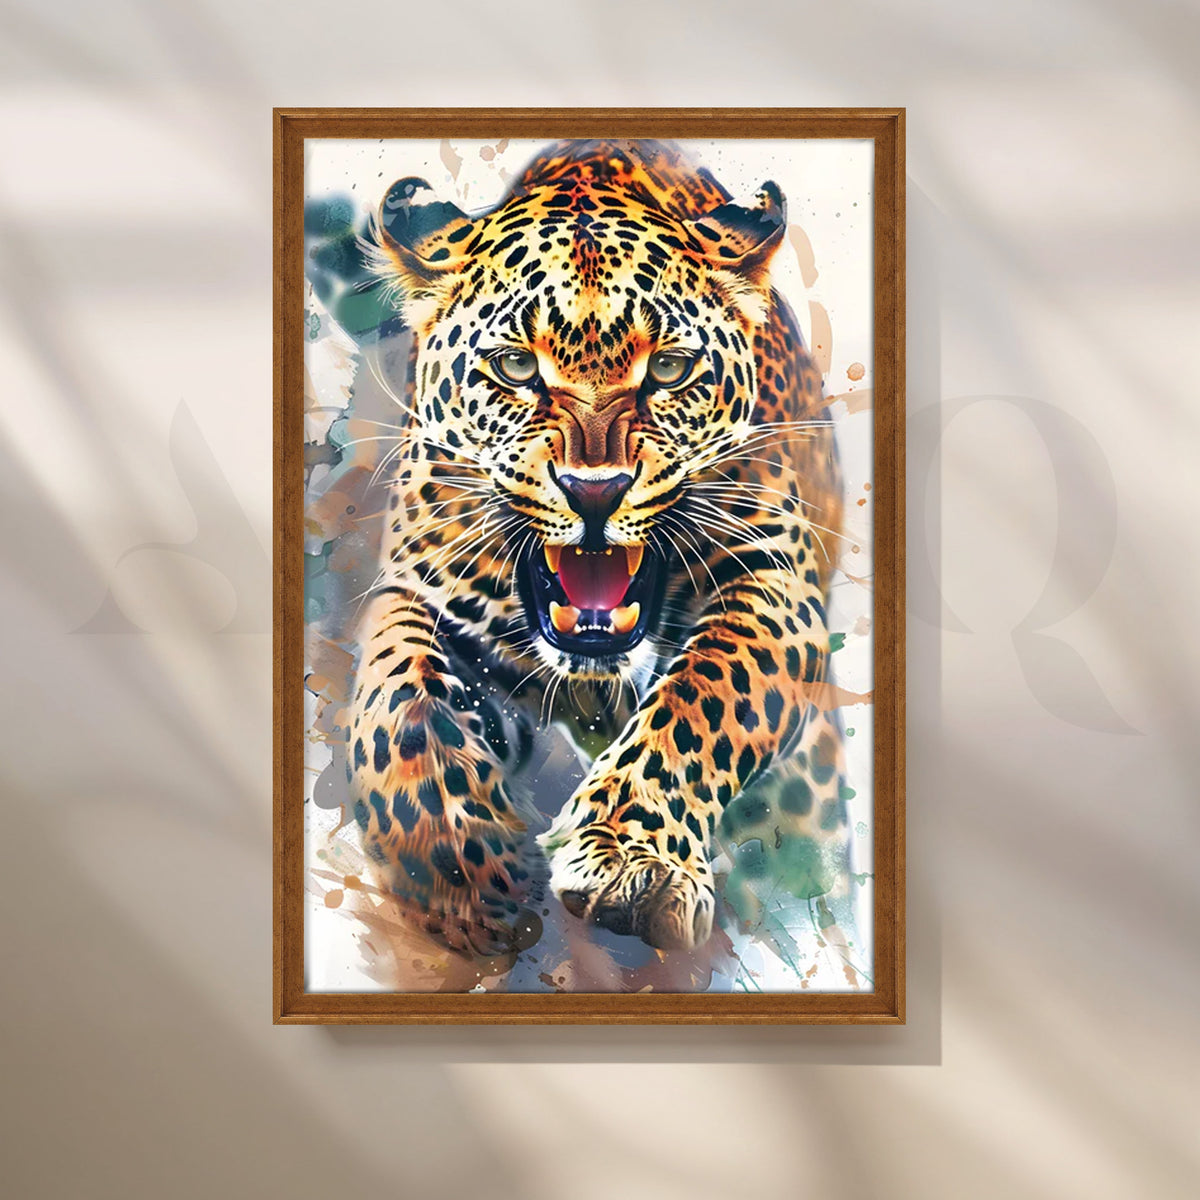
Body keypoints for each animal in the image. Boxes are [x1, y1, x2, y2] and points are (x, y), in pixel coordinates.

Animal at [342, 138, 852, 961]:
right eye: (517, 367)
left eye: (668, 369)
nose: (594, 491)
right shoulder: (419, 586)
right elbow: (398, 702)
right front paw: (461, 871)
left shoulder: (775, 584)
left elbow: (703, 694)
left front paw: (629, 861)